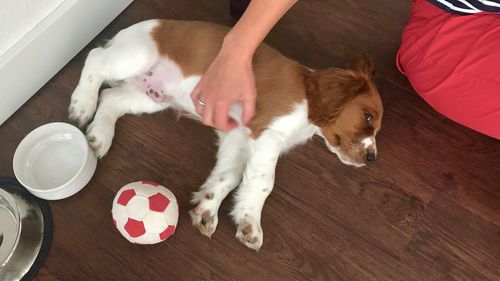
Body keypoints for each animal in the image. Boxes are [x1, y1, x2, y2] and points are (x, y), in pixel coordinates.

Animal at [68, 19, 382, 249]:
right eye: (368, 117)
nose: (371, 159)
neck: (307, 102)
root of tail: (135, 28)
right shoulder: (267, 136)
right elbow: (263, 183)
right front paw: (250, 222)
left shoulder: (238, 136)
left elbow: (228, 176)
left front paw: (207, 209)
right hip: (136, 55)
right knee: (95, 59)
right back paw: (82, 104)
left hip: (152, 97)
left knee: (111, 98)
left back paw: (99, 136)